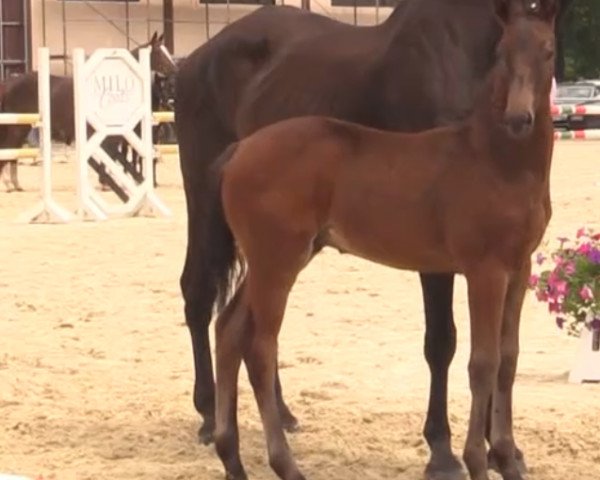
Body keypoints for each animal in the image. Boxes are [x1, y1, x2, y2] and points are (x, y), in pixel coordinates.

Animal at [173, 1, 568, 478]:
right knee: (253, 340)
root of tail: (241, 150)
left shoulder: (518, 267)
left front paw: (507, 456)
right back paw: (273, 455)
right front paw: (465, 457)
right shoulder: (481, 270)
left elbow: (507, 359)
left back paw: (234, 456)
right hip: (269, 257)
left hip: (277, 258)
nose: (518, 118)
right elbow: (477, 359)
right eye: (502, 53)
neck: (495, 159)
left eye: (548, 52)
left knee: (230, 329)